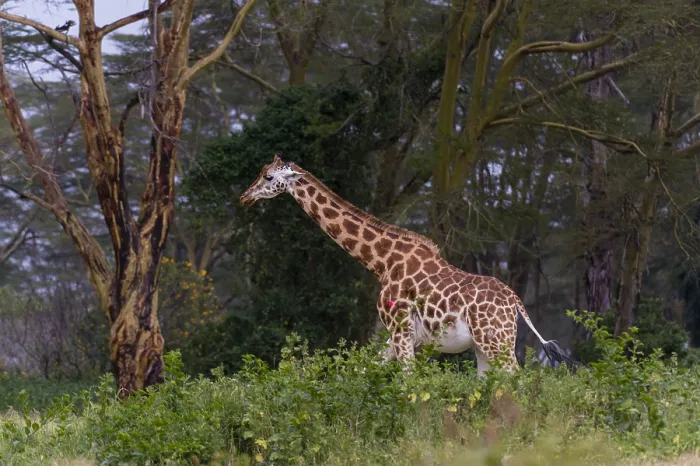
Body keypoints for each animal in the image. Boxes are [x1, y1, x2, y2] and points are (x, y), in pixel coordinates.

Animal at [240, 154, 577, 374]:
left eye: (268, 177)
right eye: (260, 171)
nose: (244, 197)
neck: (382, 262)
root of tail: (516, 303)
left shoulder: (400, 330)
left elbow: (408, 383)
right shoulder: (401, 337)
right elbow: (361, 373)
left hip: (497, 341)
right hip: (484, 346)